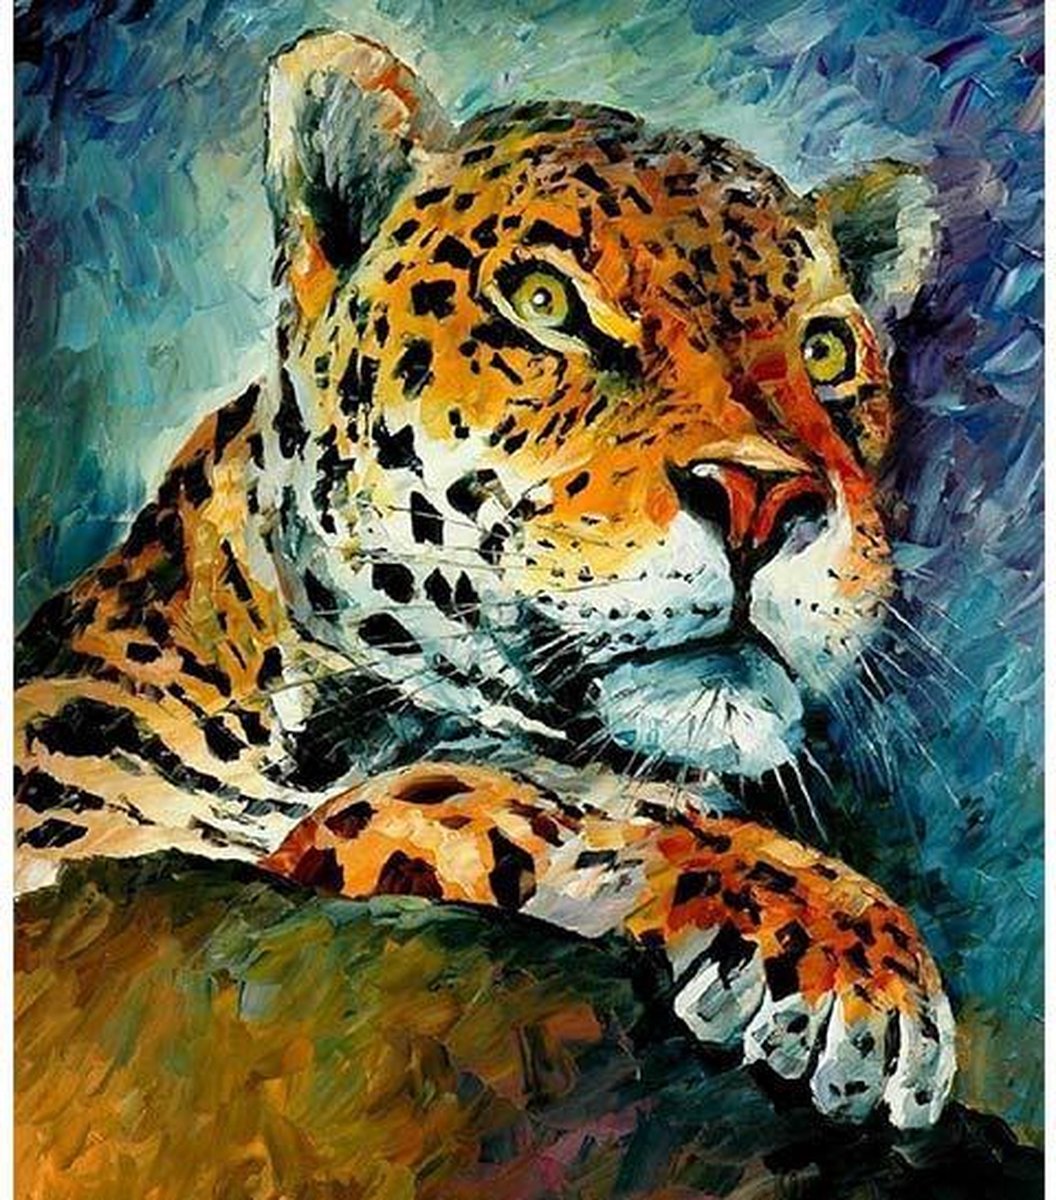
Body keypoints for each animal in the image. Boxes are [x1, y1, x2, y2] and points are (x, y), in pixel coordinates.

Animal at [14, 29, 954, 1130]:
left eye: (827, 348)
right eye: (545, 304)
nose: (764, 499)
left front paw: (848, 935)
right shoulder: (69, 831)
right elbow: (482, 804)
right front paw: (830, 943)